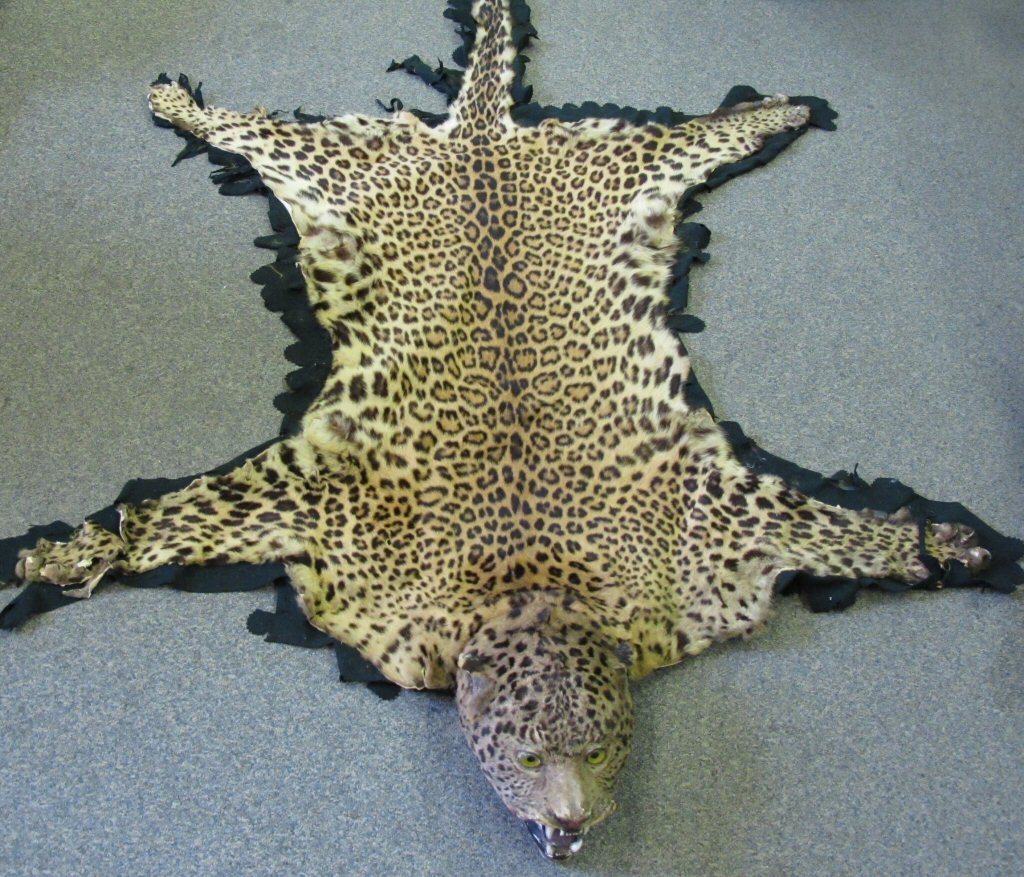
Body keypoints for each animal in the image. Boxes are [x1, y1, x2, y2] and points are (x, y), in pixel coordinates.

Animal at [7, 0, 1000, 862]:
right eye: (527, 755)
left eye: (598, 748)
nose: (569, 822)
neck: (535, 585)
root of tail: (483, 133)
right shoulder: (322, 503)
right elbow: (161, 520)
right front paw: (64, 552)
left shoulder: (716, 525)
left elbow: (850, 531)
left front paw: (947, 541)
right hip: (325, 162)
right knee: (250, 129)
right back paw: (179, 101)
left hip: (640, 166)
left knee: (703, 130)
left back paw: (783, 106)